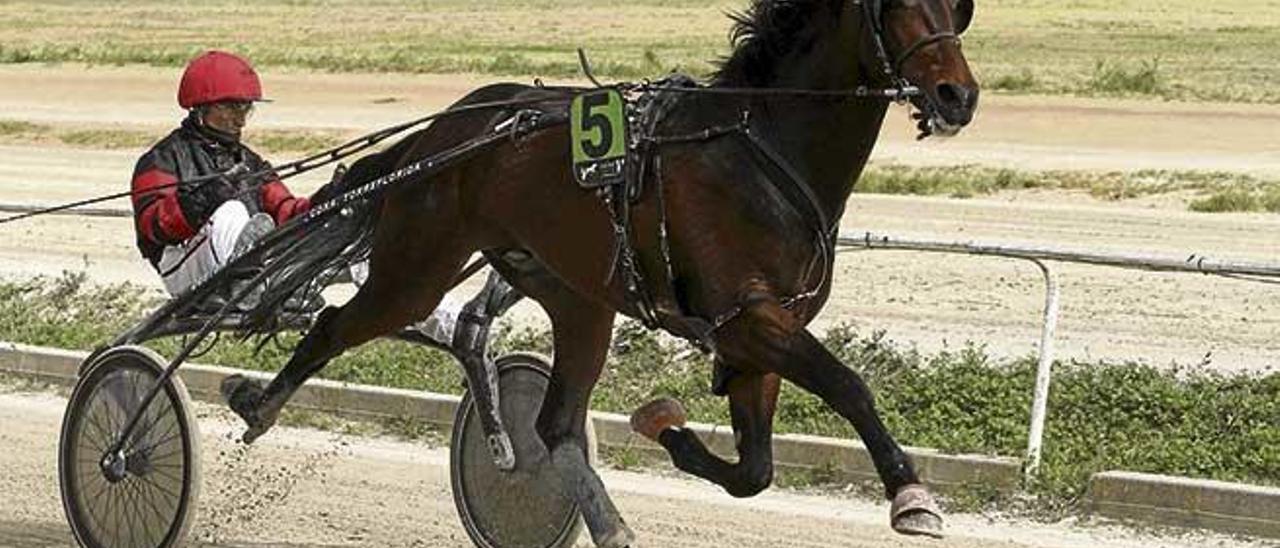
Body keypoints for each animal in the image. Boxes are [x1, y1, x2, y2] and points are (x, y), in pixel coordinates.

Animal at [227, 0, 977, 542]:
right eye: (899, 4)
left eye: (954, 5)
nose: (957, 95)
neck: (758, 150)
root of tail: (444, 131)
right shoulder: (749, 320)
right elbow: (848, 385)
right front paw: (911, 496)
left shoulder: (759, 331)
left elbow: (754, 472)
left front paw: (667, 426)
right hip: (416, 266)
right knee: (334, 322)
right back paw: (256, 404)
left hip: (576, 296)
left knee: (556, 424)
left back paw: (610, 524)